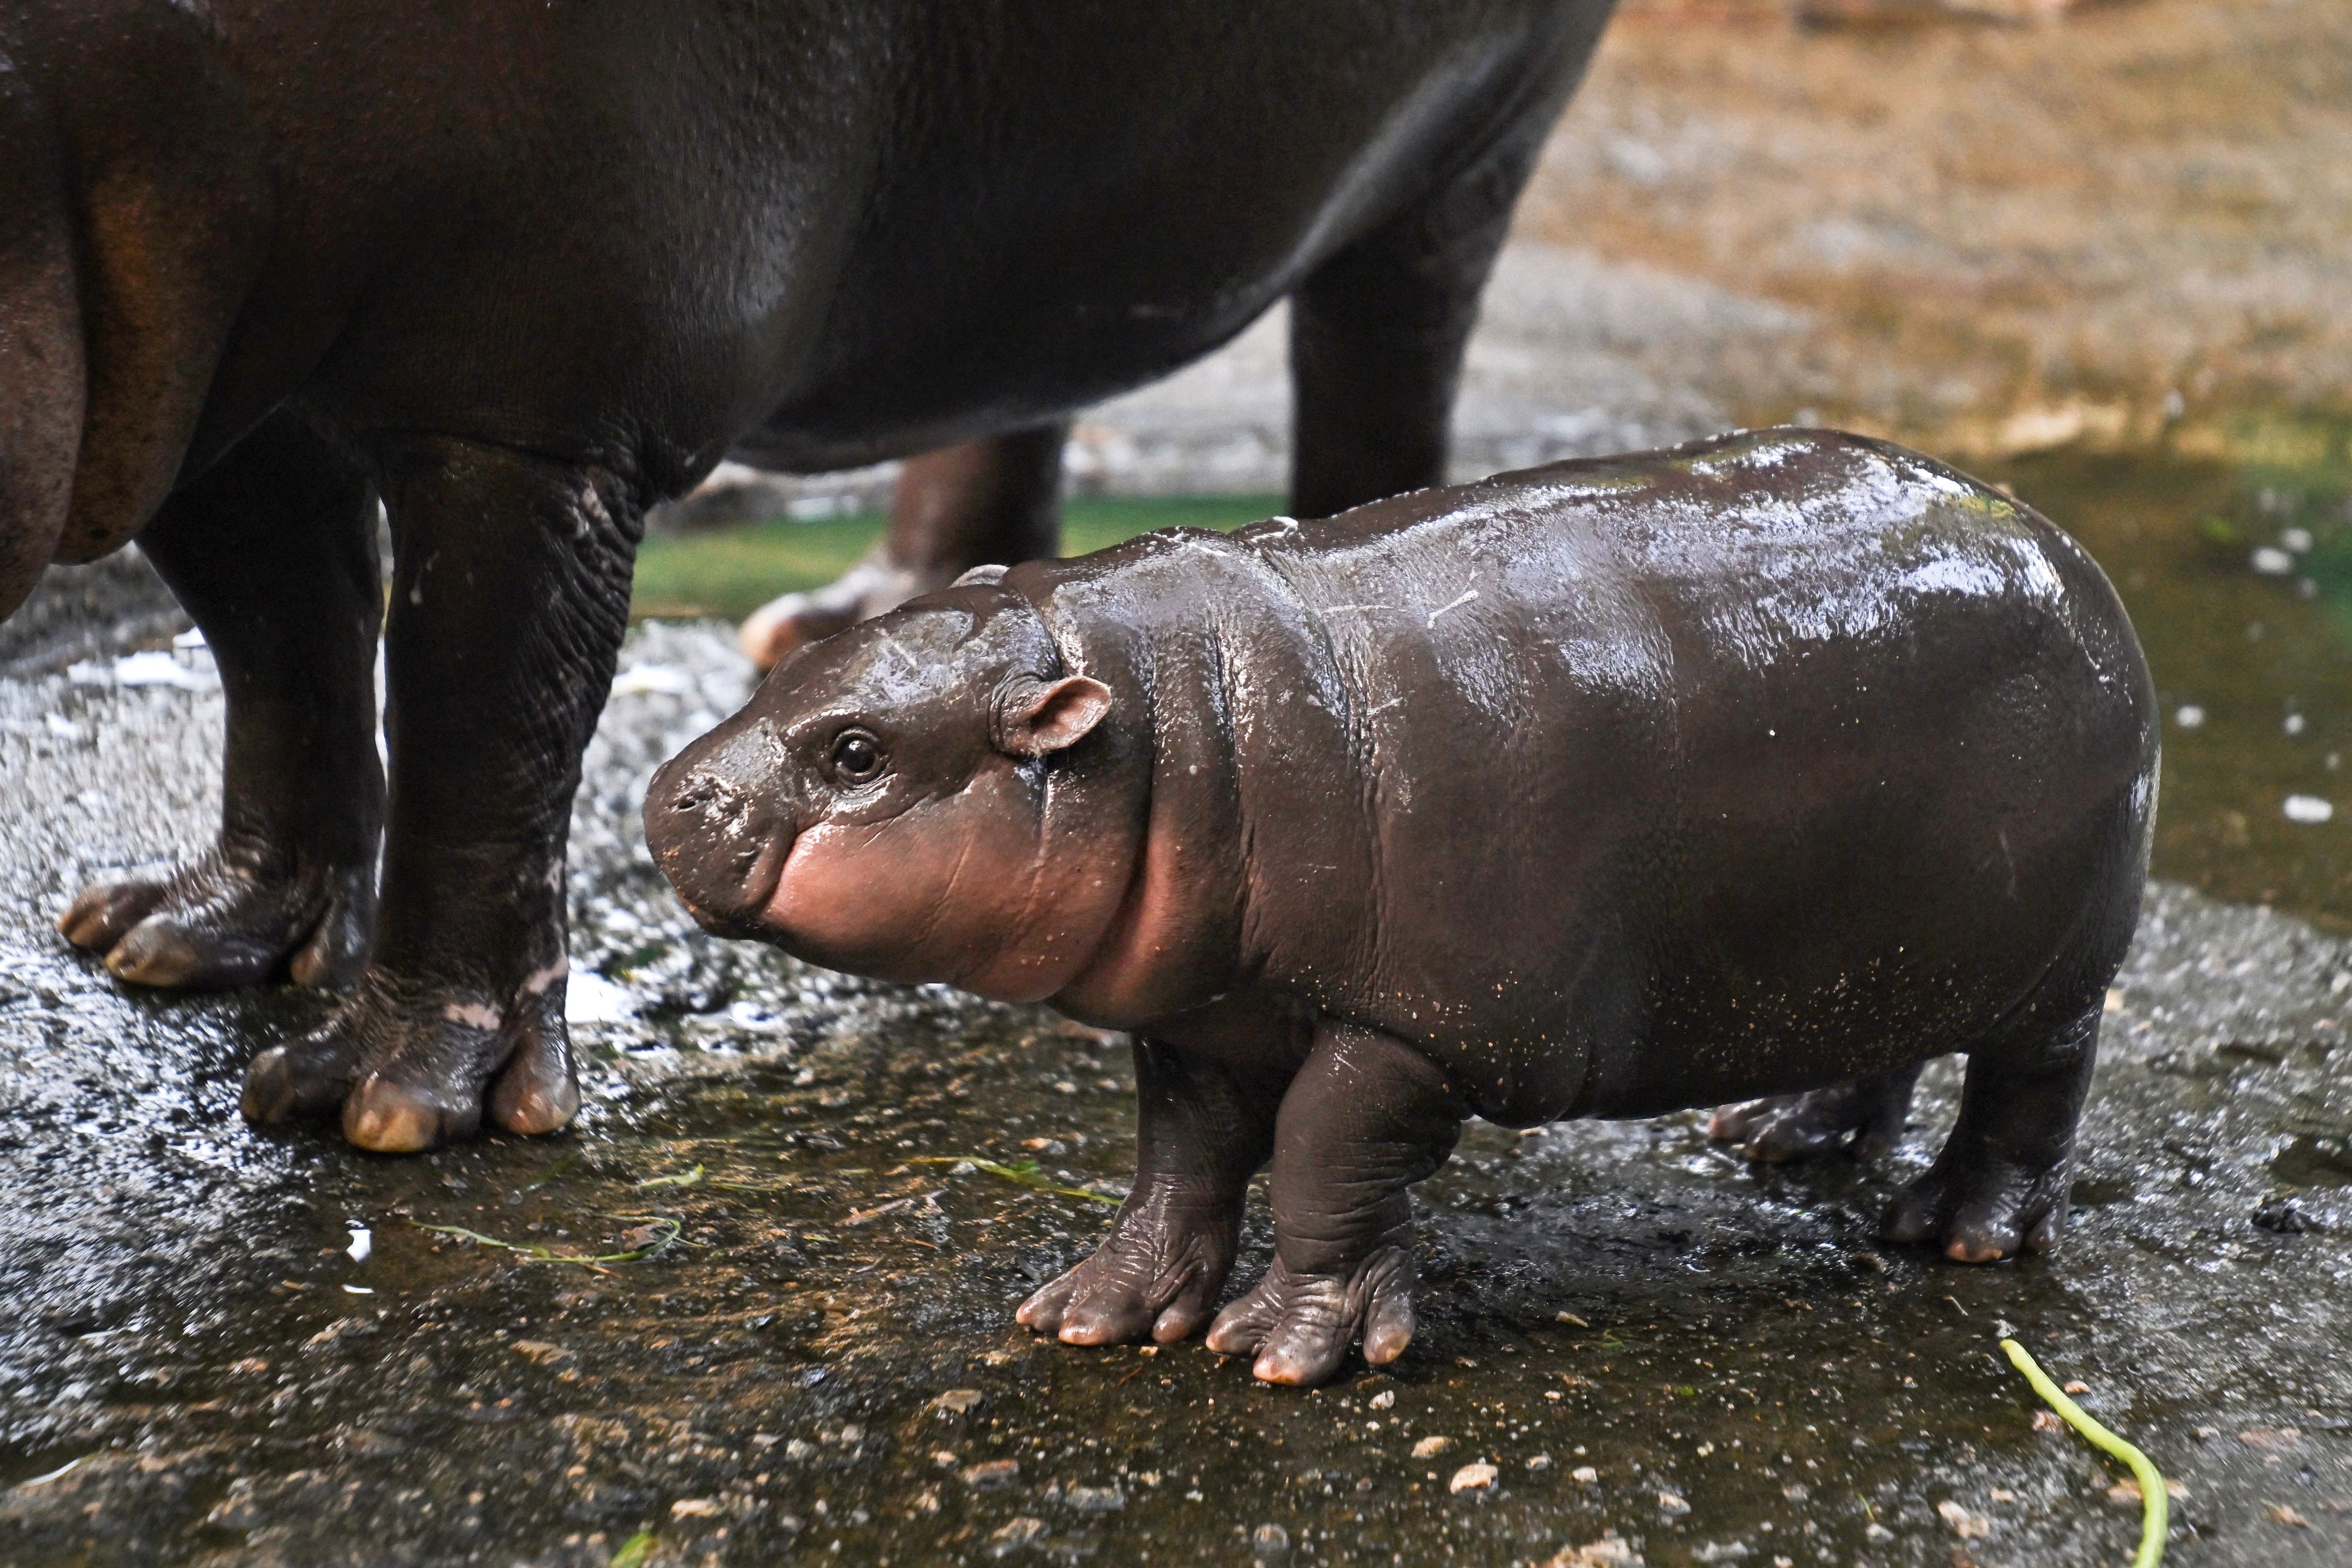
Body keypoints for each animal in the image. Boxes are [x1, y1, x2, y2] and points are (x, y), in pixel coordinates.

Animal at [9, 0, 1618, 1152]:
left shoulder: (535, 408)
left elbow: (478, 725)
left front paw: (383, 1101)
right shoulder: (198, 385)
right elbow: (285, 646)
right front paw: (179, 938)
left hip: (1469, 146)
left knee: (1384, 356)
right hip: (1031, 217)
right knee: (1019, 362)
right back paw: (854, 620)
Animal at [640, 425, 2154, 1382]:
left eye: (856, 753)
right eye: (807, 655)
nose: (669, 796)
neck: (1185, 727)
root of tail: (2058, 542)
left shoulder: (1422, 1027)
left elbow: (1318, 1150)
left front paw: (1277, 1350)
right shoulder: (1204, 1014)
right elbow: (1178, 1161)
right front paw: (1092, 1312)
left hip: (2055, 965)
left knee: (2033, 1087)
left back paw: (1950, 1231)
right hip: (1877, 930)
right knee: (1880, 1042)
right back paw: (1777, 1139)